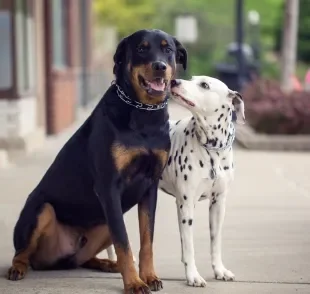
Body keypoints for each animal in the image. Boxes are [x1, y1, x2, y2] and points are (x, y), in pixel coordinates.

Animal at [6, 30, 186, 294]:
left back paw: (107, 264)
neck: (144, 114)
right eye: (141, 49)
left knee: (82, 259)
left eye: (168, 49)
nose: (159, 66)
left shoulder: (149, 187)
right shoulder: (108, 187)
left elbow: (146, 240)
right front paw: (134, 283)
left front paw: (149, 276)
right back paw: (18, 268)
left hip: (103, 222)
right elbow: (124, 243)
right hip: (43, 210)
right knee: (23, 252)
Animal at [106, 76, 245, 288]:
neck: (211, 149)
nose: (174, 81)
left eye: (204, 85)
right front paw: (193, 275)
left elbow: (215, 242)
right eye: (193, 78)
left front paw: (219, 270)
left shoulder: (218, 204)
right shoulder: (186, 206)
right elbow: (189, 246)